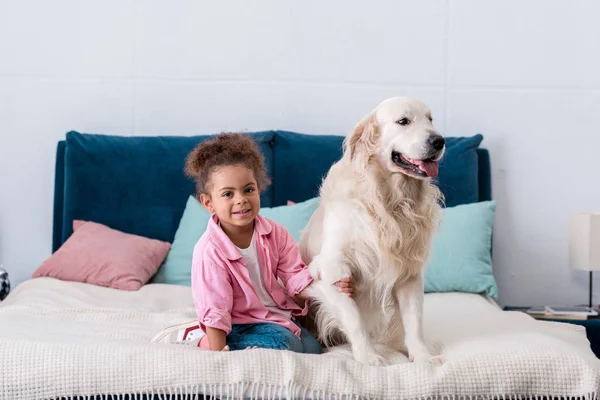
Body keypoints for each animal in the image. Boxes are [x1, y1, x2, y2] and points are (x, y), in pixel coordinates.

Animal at [300, 97, 446, 366]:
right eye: (403, 121)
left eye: (430, 119)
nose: (439, 141)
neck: (388, 200)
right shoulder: (332, 268)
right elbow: (354, 318)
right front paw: (368, 357)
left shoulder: (409, 273)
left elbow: (414, 320)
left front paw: (422, 356)